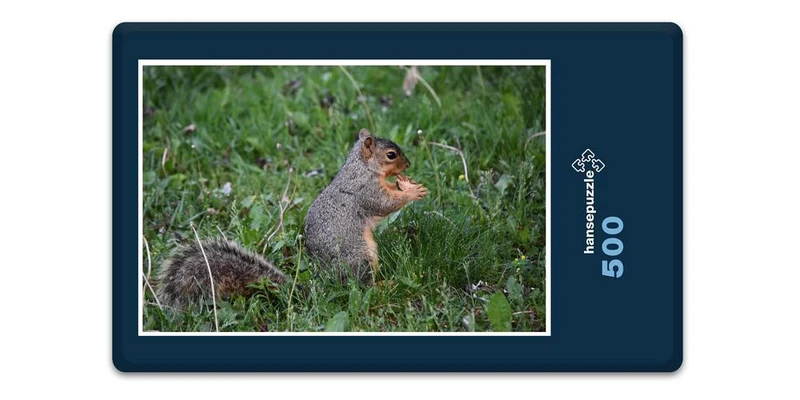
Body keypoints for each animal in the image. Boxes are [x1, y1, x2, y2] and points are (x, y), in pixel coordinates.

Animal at [156, 128, 427, 308]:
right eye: (391, 155)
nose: (408, 164)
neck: (362, 166)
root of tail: (327, 282)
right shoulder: (365, 191)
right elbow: (383, 204)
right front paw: (412, 191)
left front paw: (406, 184)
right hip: (360, 257)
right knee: (361, 286)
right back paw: (383, 286)